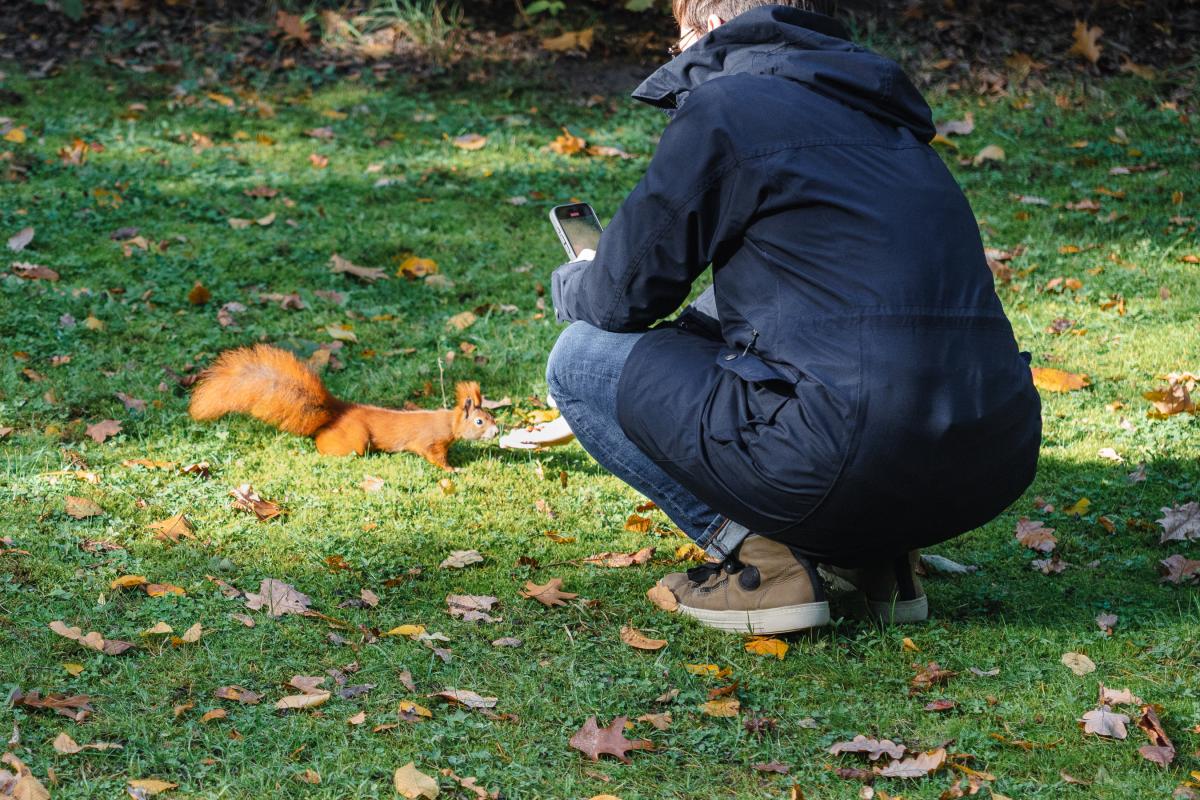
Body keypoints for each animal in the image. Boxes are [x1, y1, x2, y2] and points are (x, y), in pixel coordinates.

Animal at [189, 345, 499, 470]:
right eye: (480, 421)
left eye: (491, 415)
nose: (497, 432)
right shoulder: (429, 442)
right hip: (356, 438)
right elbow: (435, 457)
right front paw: (453, 470)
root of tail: (339, 411)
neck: (448, 422)